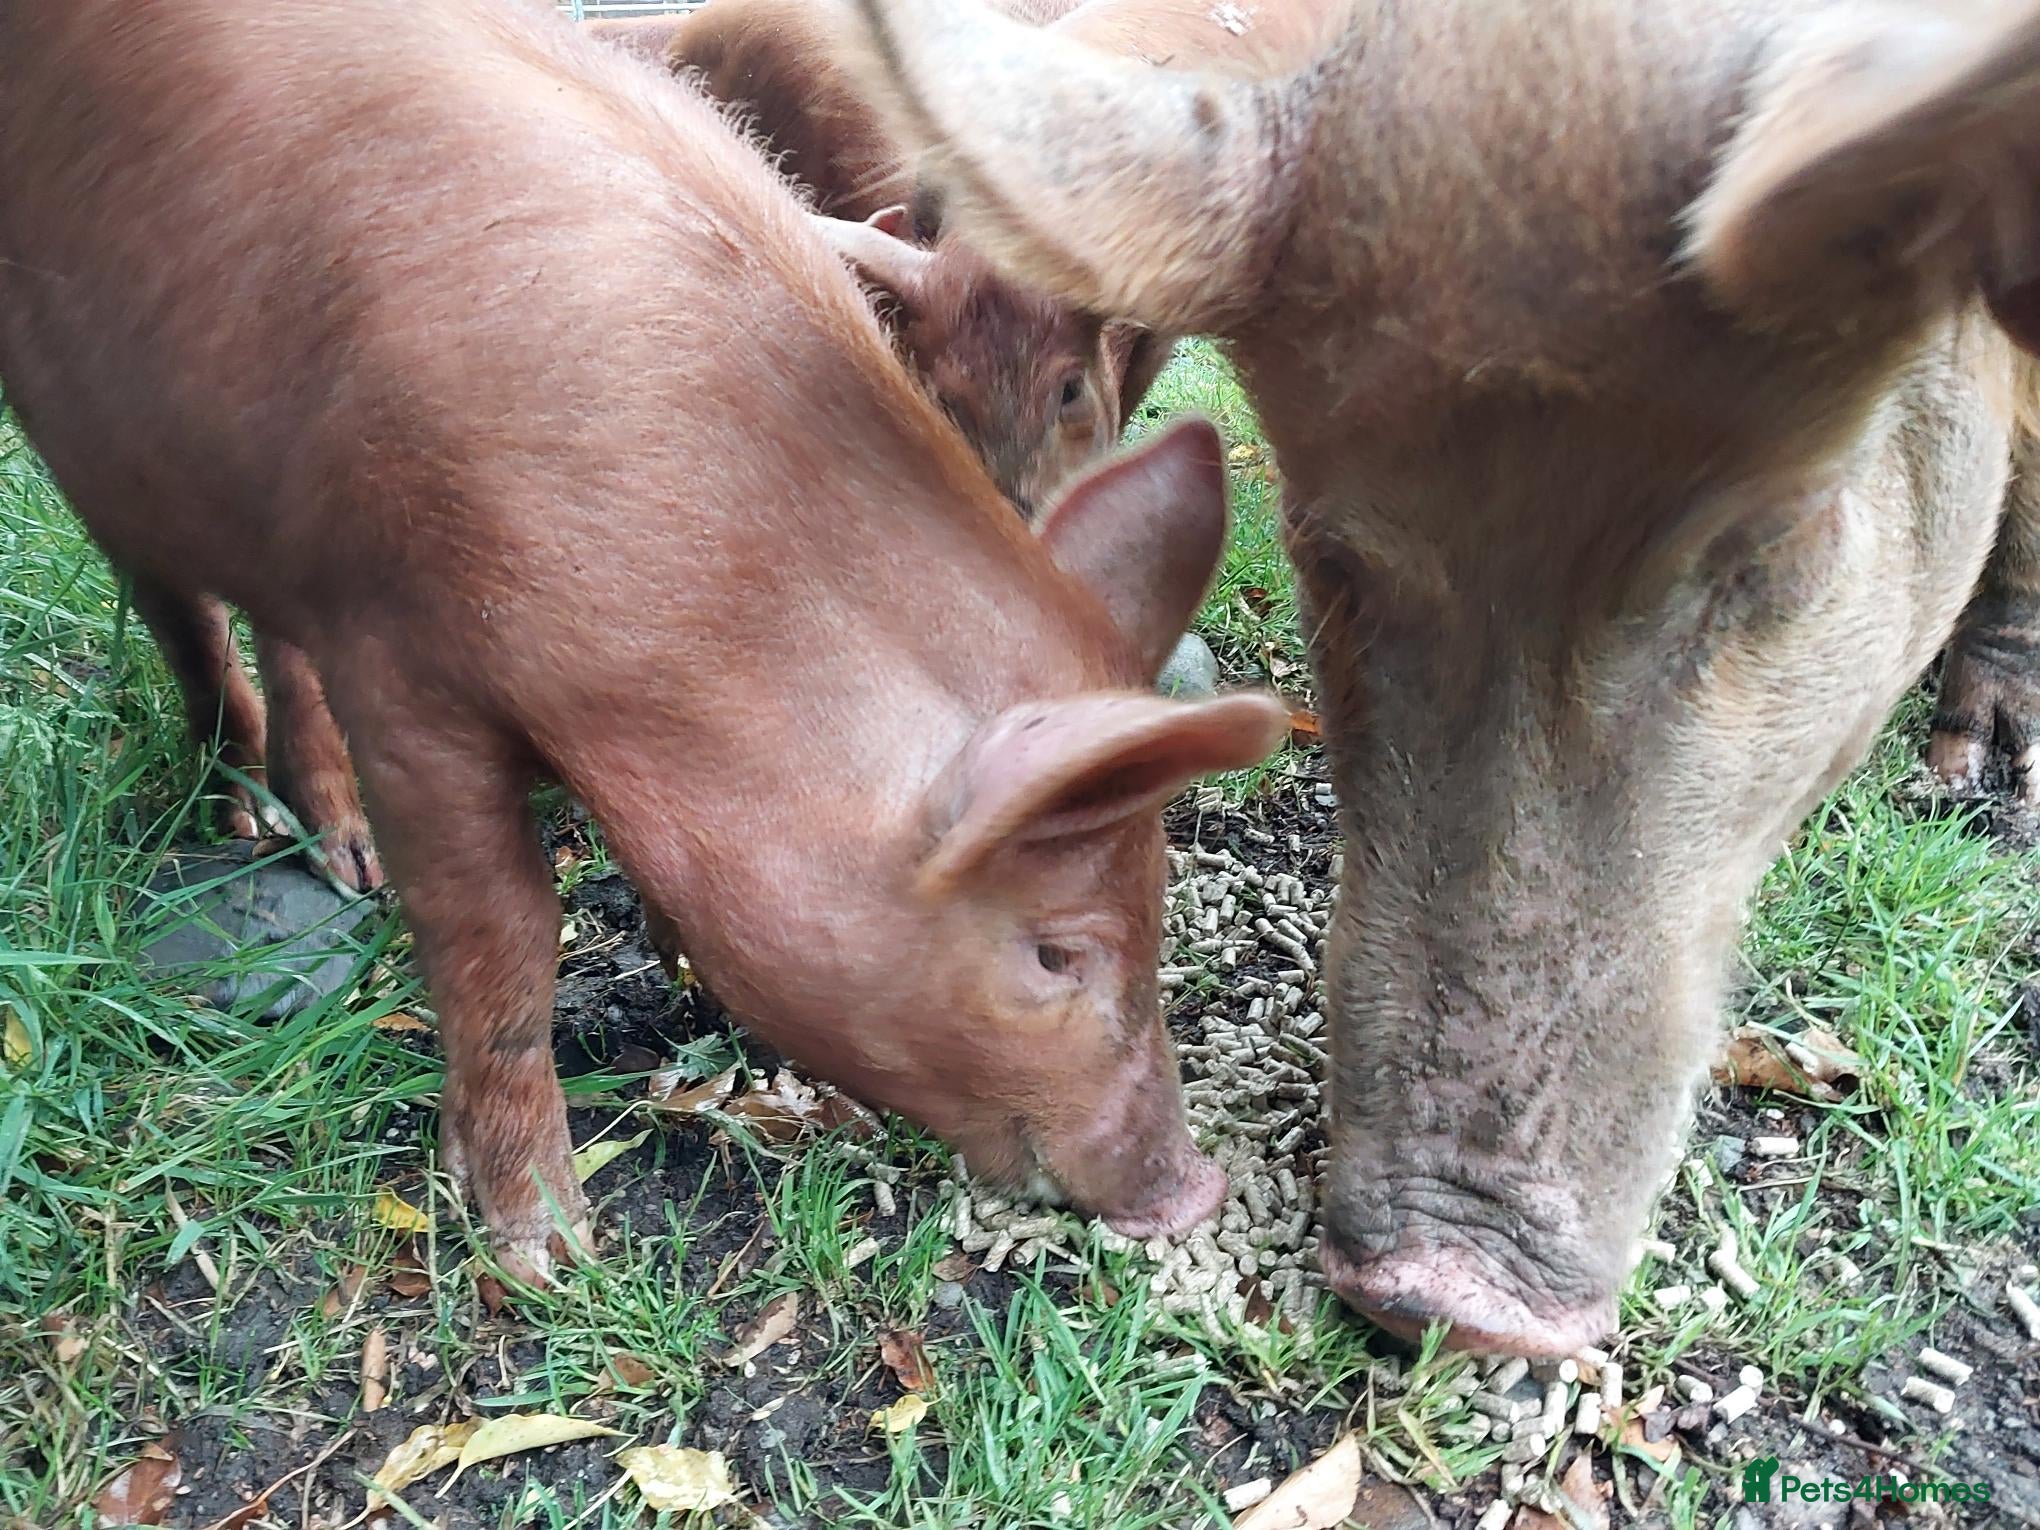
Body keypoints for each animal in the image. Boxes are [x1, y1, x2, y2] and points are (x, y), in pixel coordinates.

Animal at [0, 0, 1288, 1280]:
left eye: (1159, 896)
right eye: (1055, 954)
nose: (1196, 1190)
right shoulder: (403, 659)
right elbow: (503, 932)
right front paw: (546, 1251)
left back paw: (344, 859)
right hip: (85, 441)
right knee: (183, 614)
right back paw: (254, 826)